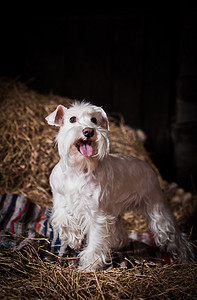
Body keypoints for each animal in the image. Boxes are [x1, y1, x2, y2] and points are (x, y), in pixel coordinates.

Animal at [46, 102, 194, 270]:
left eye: (94, 120)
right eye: (72, 119)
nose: (88, 131)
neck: (78, 169)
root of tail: (149, 167)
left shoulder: (96, 215)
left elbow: (95, 241)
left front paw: (89, 266)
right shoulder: (60, 201)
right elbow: (61, 218)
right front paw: (73, 239)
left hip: (157, 211)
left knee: (174, 235)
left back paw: (185, 258)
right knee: (119, 233)